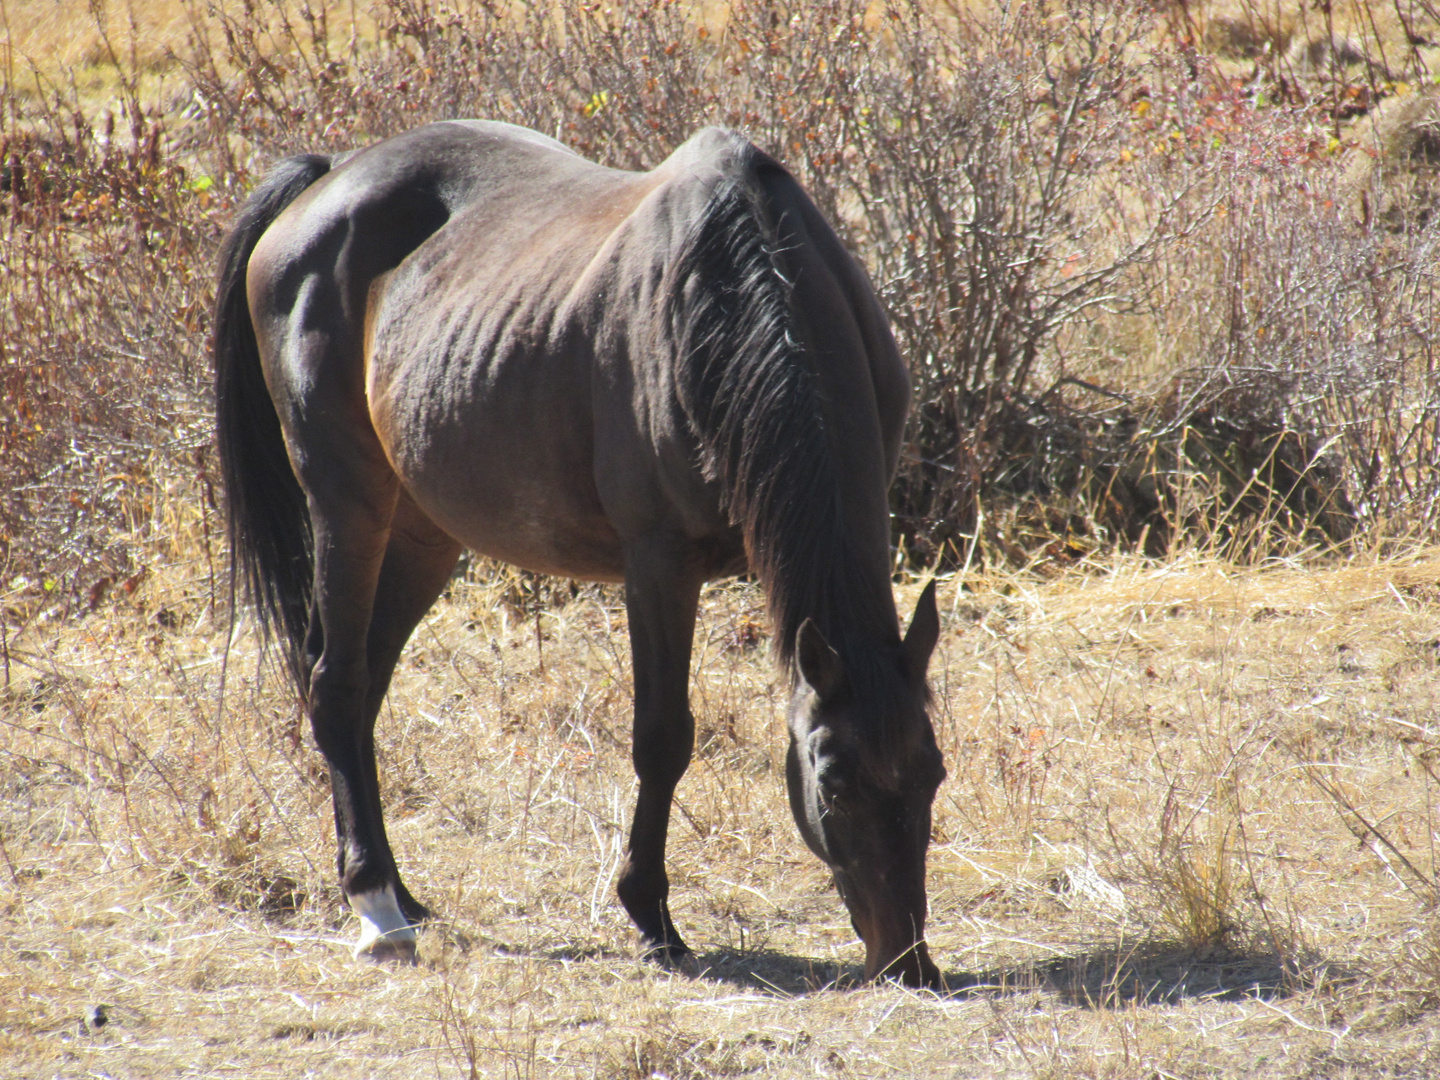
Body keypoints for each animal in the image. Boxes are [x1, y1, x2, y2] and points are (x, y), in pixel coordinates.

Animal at [210, 120, 944, 990]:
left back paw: (404, 891)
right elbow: (663, 736)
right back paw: (376, 904)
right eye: (830, 782)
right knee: (336, 684)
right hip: (346, 502)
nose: (909, 962)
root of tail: (329, 178)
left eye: (934, 773)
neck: (736, 297)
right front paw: (652, 917)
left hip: (425, 532)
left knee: (364, 693)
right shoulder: (658, 565)